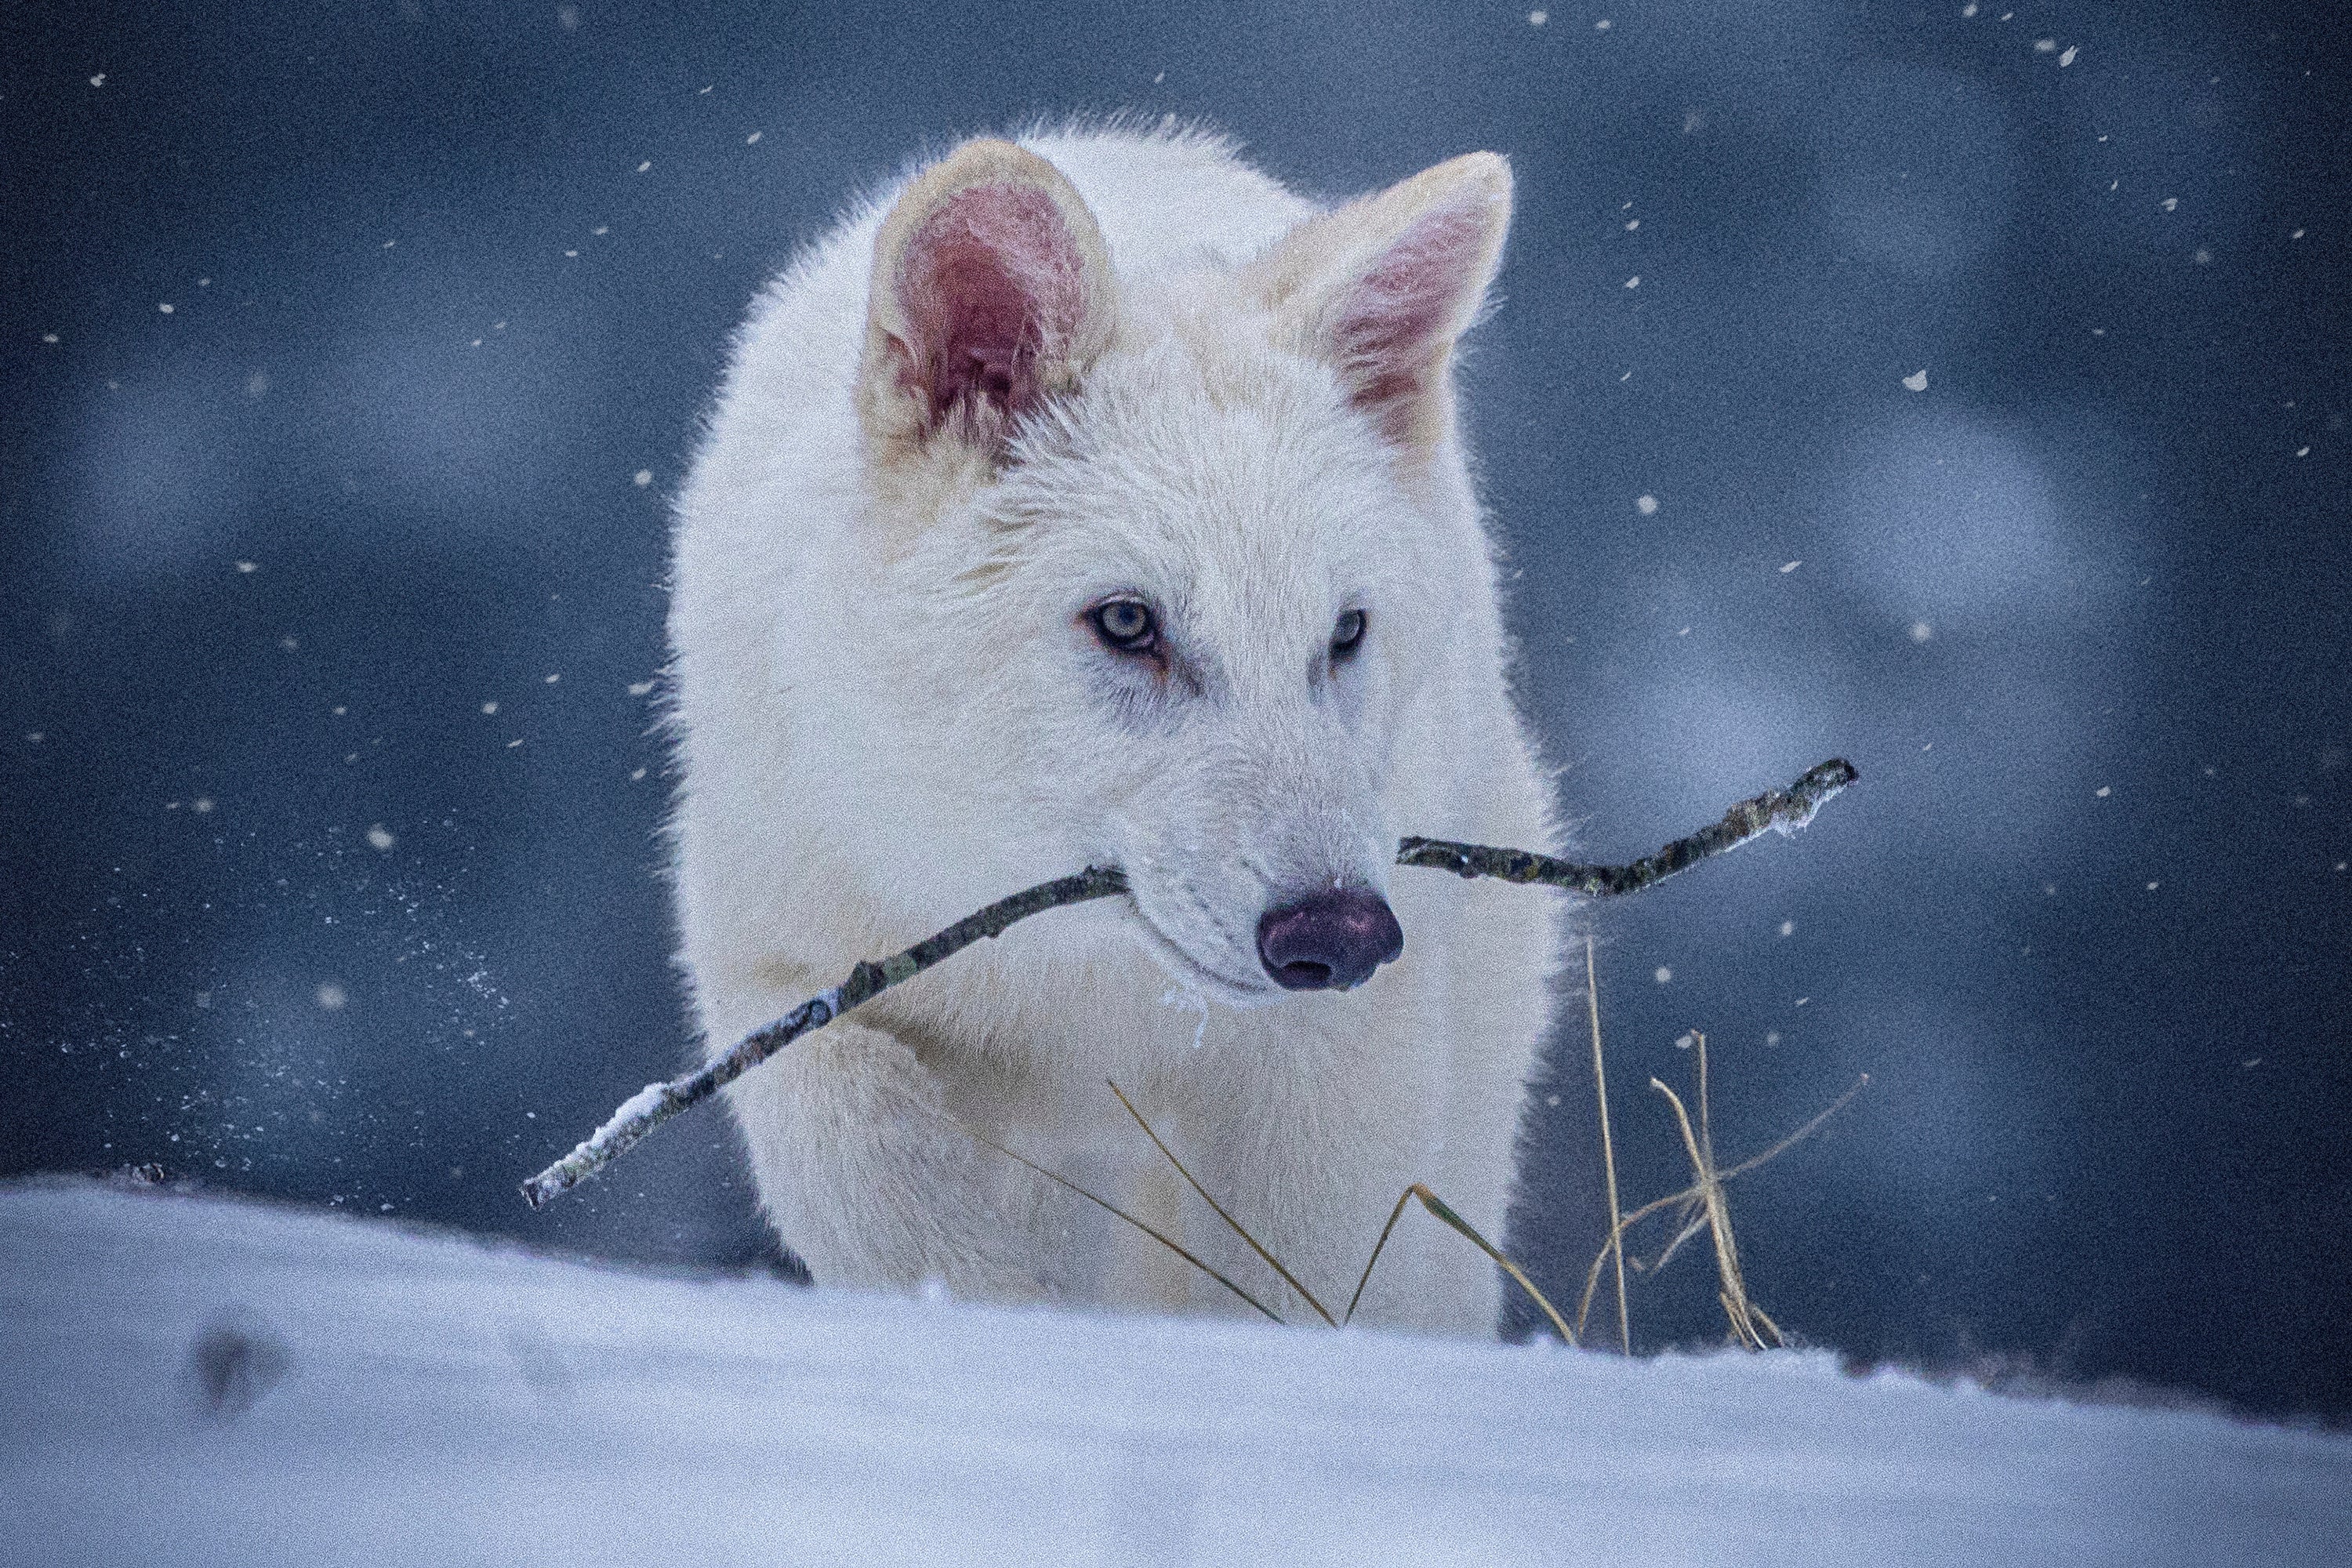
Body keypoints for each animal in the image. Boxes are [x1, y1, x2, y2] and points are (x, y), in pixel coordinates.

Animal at [667, 122, 1564, 1336]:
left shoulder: (1331, 1065)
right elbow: (870, 1167)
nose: (1340, 934)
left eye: (1343, 632)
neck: (1079, 978)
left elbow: (1300, 1289)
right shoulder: (779, 972)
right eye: (1129, 622)